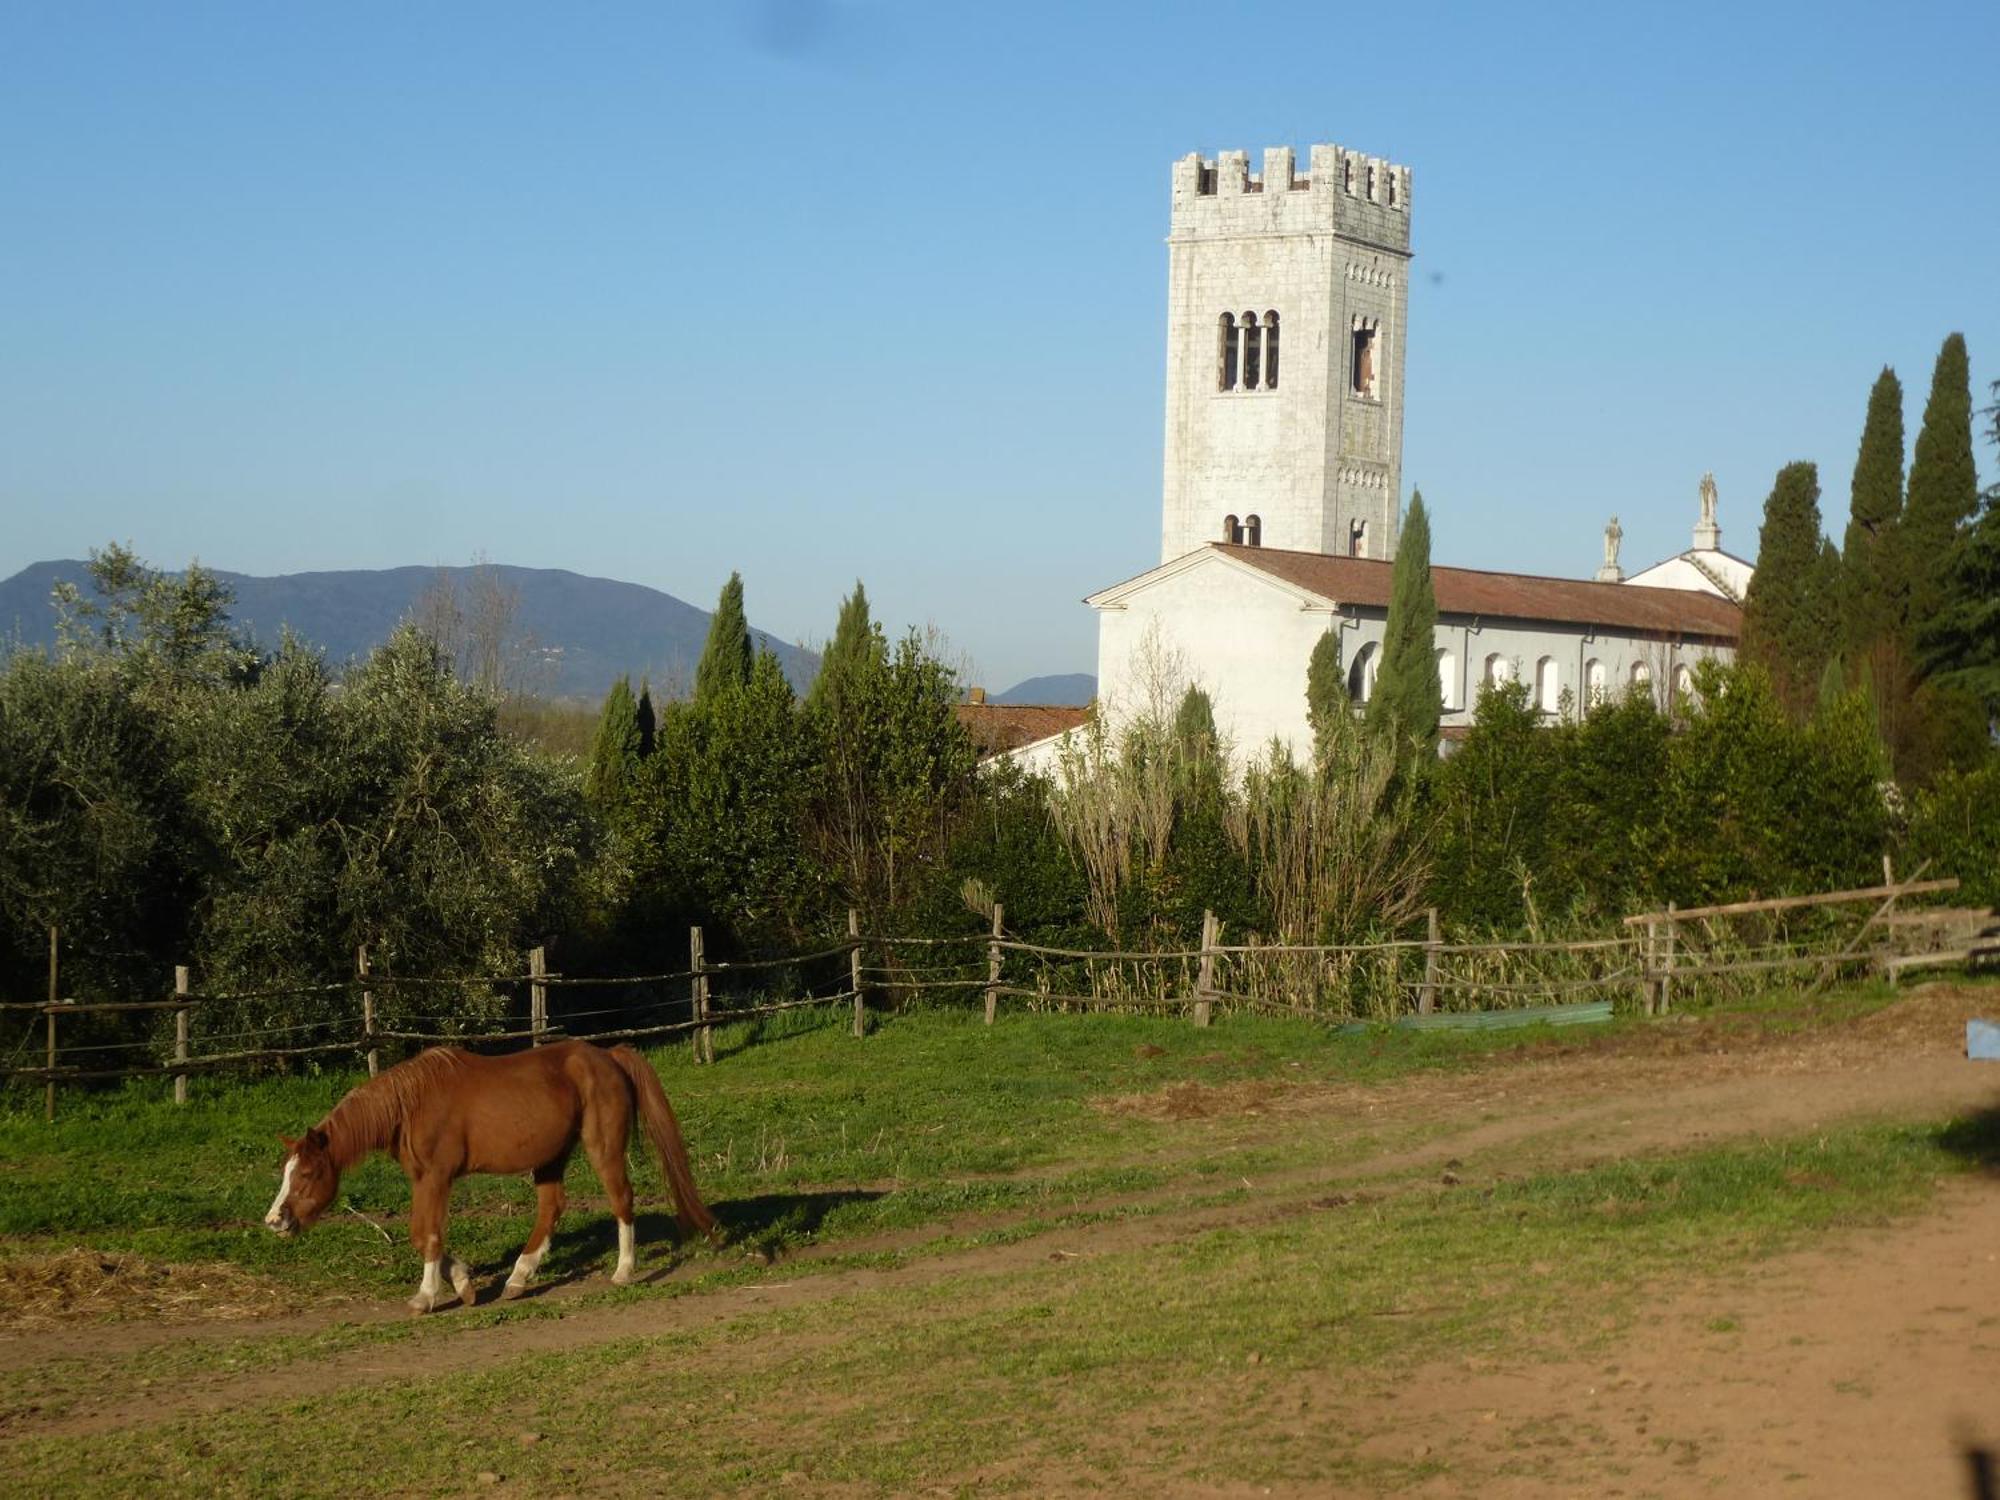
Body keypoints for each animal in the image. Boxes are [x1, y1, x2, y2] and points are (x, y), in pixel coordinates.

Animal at [264, 1048, 720, 1312]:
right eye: (286, 1172)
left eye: (307, 1173)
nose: (274, 1221)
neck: (412, 1104)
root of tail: (609, 1055)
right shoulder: (421, 1179)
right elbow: (422, 1235)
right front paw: (464, 1282)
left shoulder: (436, 1177)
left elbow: (427, 1235)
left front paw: (427, 1296)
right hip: (550, 1157)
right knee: (552, 1208)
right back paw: (519, 1278)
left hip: (602, 1148)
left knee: (622, 1199)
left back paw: (624, 1270)